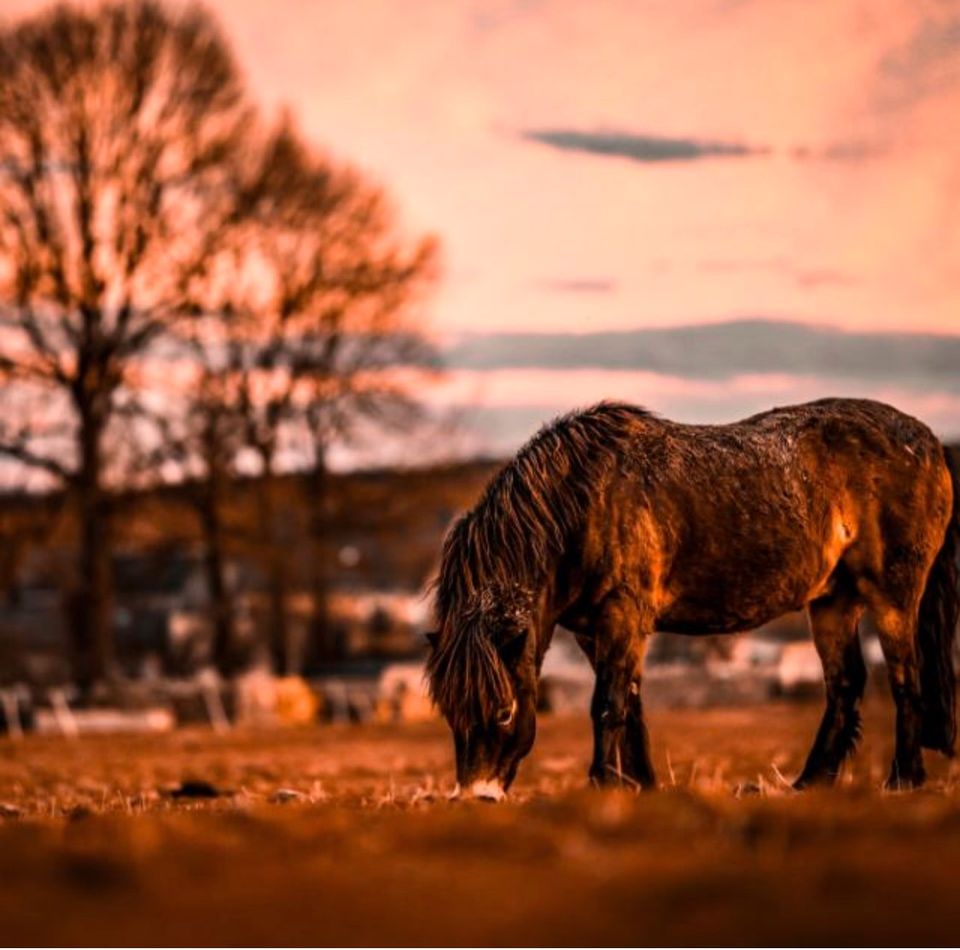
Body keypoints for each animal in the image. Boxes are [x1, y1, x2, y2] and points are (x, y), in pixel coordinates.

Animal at [428, 398, 960, 800]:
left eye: (504, 711)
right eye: (451, 711)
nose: (477, 796)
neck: (583, 505)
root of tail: (929, 442)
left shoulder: (622, 617)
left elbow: (607, 704)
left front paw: (603, 784)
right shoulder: (592, 631)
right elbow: (631, 704)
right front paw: (640, 785)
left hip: (893, 597)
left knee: (904, 681)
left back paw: (902, 781)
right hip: (833, 601)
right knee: (845, 685)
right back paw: (809, 784)